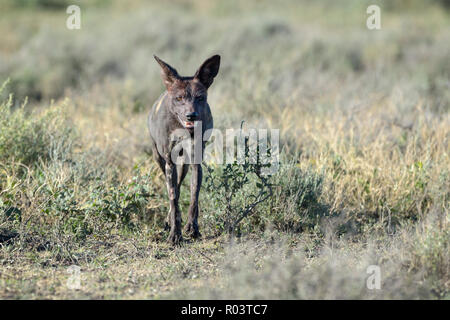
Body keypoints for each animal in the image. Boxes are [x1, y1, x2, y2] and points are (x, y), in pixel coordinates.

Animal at [149, 55, 221, 245]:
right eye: (179, 98)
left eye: (200, 98)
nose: (191, 115)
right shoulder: (169, 163)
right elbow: (174, 200)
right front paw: (175, 234)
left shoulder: (196, 164)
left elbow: (194, 198)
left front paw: (192, 228)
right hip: (160, 159)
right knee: (174, 191)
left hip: (184, 166)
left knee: (180, 186)